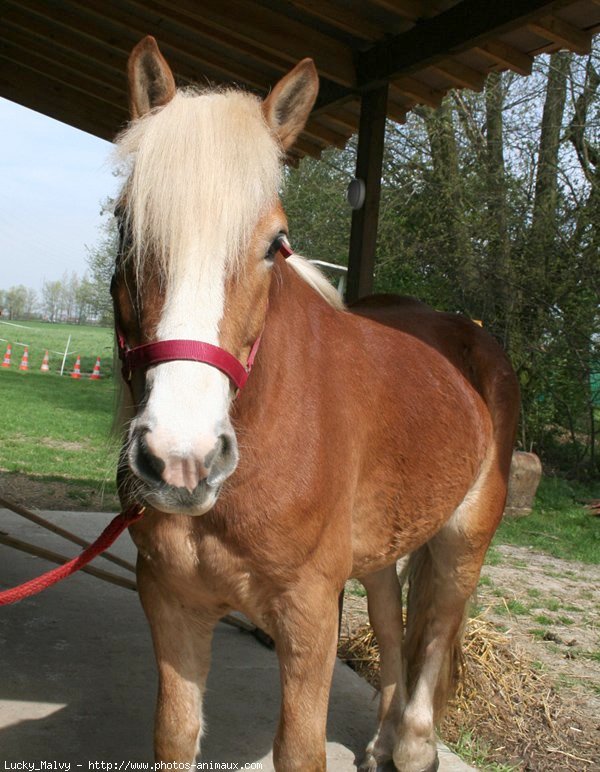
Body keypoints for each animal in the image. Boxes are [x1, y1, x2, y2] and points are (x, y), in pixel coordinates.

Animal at [113, 36, 520, 772]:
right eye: (125, 224)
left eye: (276, 244)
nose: (182, 459)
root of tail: (470, 336)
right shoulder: (170, 600)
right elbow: (175, 734)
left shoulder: (308, 612)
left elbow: (301, 749)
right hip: (384, 546)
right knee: (391, 623)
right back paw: (383, 738)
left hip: (465, 535)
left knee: (436, 629)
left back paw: (411, 745)